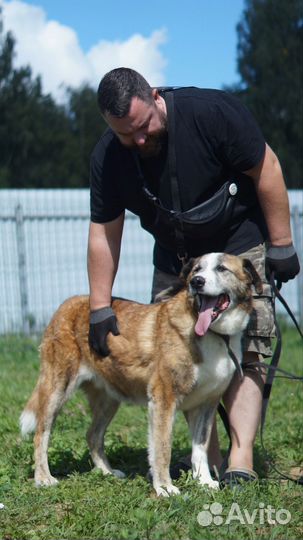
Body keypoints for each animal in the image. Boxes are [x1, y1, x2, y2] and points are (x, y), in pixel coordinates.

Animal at [20, 253, 262, 498]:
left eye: (222, 269)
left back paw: (106, 472)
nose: (197, 282)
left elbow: (200, 448)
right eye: (196, 269)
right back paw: (44, 478)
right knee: (41, 433)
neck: (214, 334)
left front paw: (204, 481)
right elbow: (162, 448)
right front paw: (164, 487)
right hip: (57, 388)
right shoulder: (163, 399)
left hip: (109, 398)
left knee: (92, 434)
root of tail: (67, 303)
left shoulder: (206, 404)